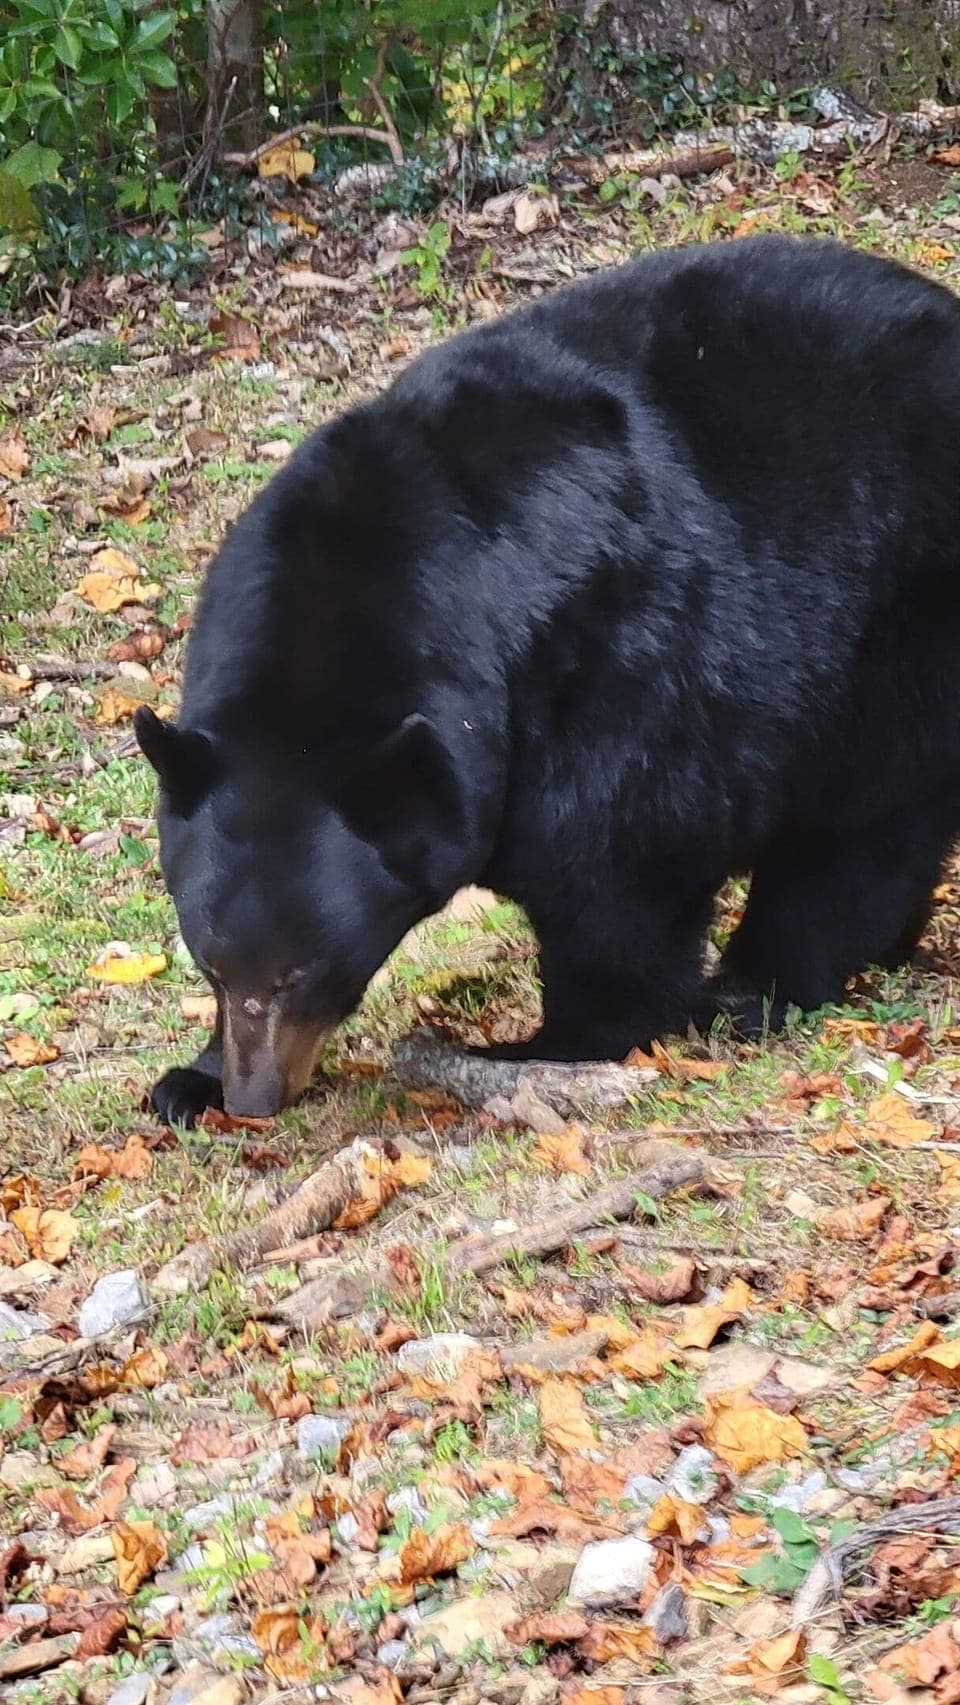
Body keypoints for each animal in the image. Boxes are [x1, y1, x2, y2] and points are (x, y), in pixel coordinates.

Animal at [136, 234, 960, 1127]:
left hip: (895, 617)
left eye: (306, 971)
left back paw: (753, 987)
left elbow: (617, 874)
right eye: (210, 964)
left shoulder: (615, 678)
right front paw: (189, 1076)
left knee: (861, 824)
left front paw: (547, 1044)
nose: (254, 1099)